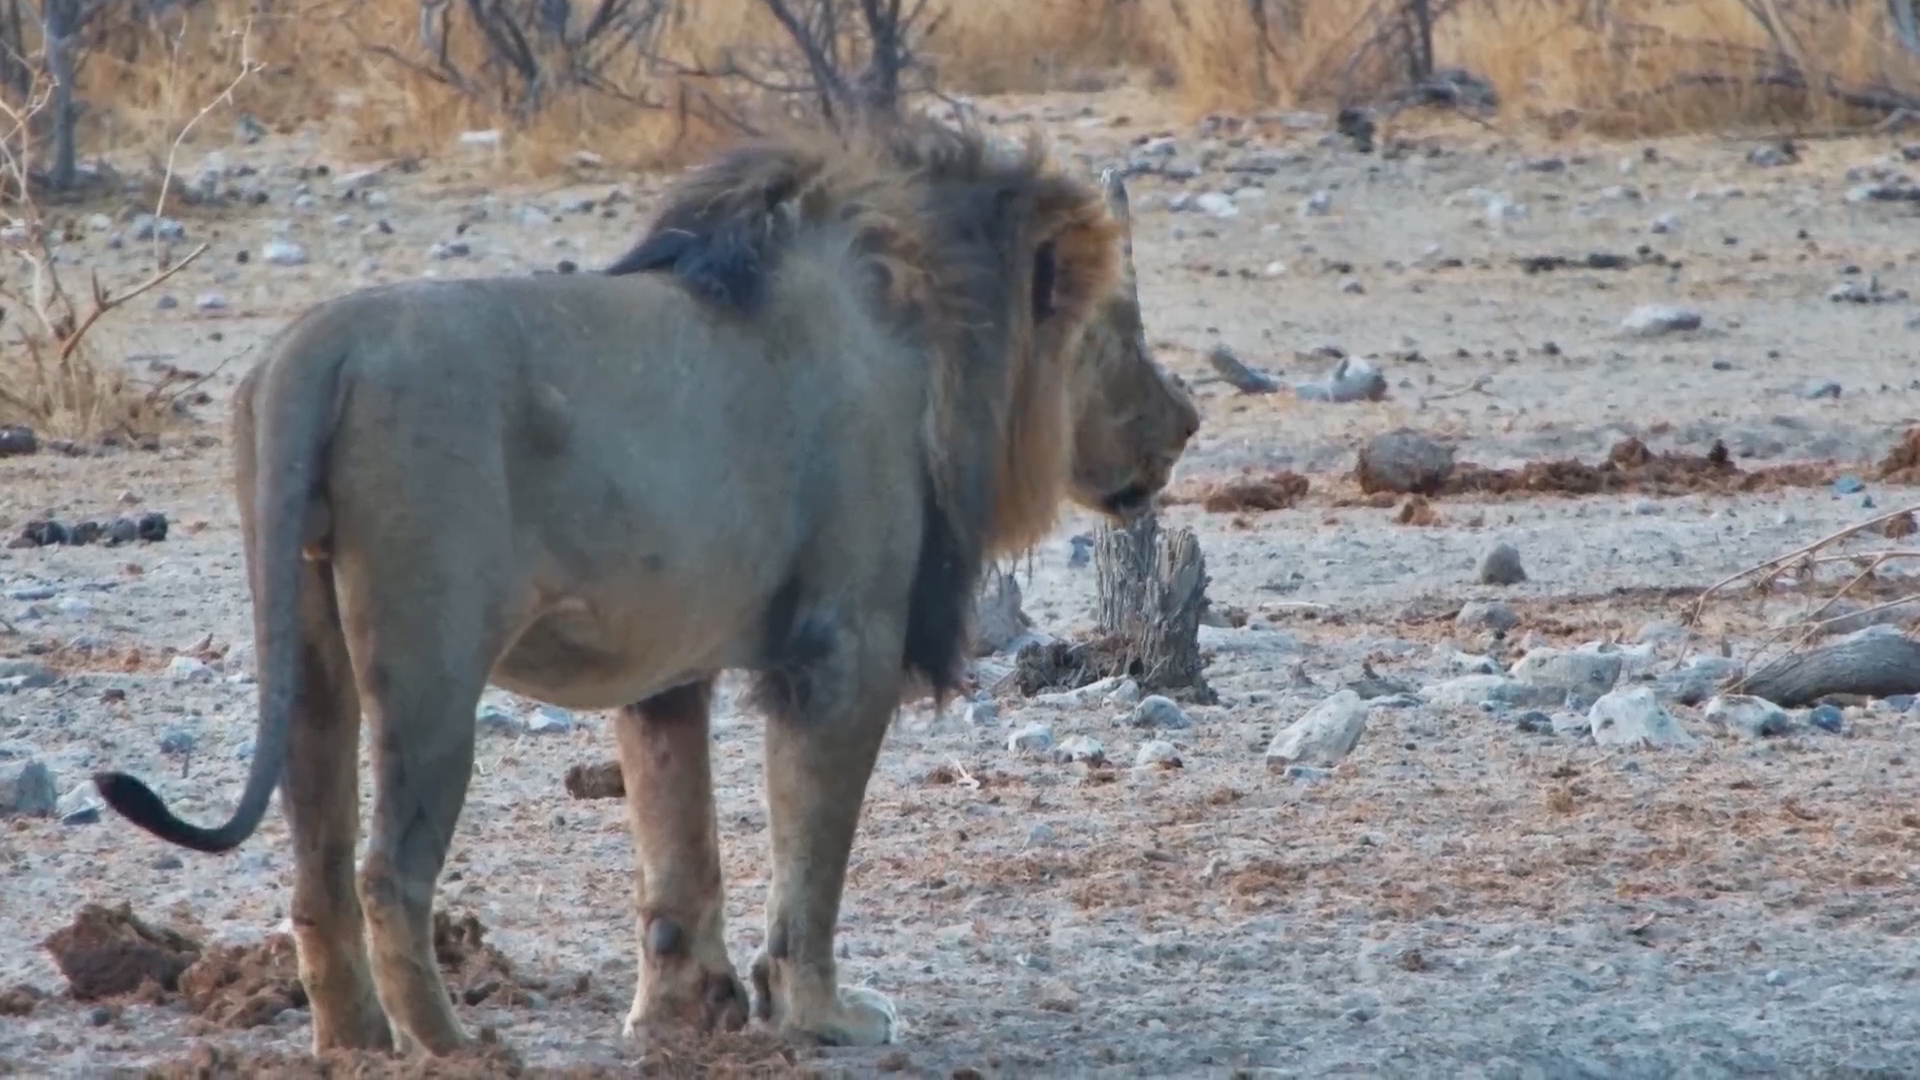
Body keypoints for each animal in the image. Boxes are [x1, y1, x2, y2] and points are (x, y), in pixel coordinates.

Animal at [91, 119, 1198, 1059]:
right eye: (1120, 328)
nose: (1186, 422)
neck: (932, 332)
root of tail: (320, 345)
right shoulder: (843, 650)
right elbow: (811, 859)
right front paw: (821, 1016)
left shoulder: (669, 664)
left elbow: (678, 850)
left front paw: (686, 1013)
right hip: (430, 658)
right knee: (388, 874)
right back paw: (458, 1051)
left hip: (307, 644)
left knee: (317, 872)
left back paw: (357, 1048)